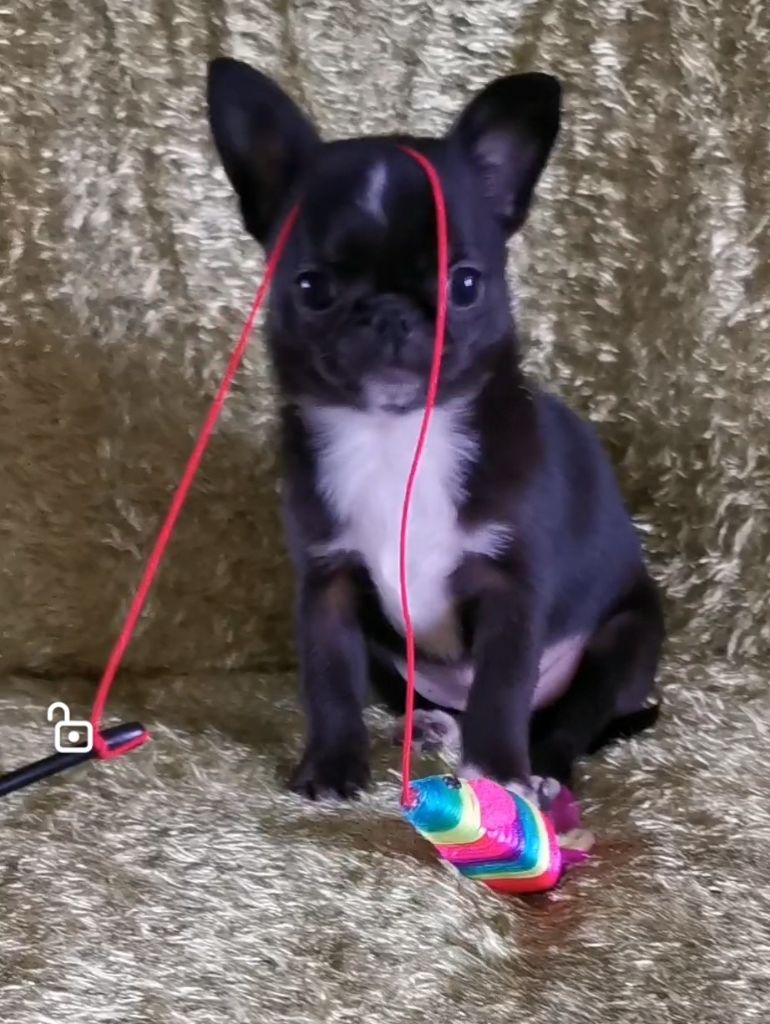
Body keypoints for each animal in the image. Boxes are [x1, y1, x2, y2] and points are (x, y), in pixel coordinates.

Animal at [206, 57, 664, 801]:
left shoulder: (512, 593)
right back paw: (433, 726)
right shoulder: (328, 586)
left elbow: (502, 689)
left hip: (629, 637)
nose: (391, 313)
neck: (395, 436)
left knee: (573, 715)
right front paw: (331, 767)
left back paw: (543, 768)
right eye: (311, 288)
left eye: (467, 284)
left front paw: (499, 775)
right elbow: (329, 681)